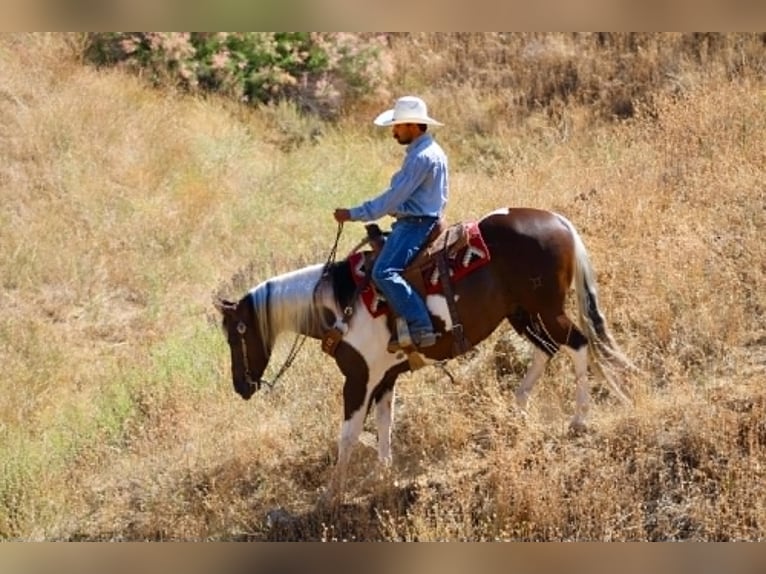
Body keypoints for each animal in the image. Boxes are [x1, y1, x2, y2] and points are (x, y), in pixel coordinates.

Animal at [215, 207, 633, 496]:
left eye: (236, 335)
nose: (241, 386)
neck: (339, 304)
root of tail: (558, 221)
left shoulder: (359, 379)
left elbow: (348, 434)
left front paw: (332, 491)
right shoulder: (384, 377)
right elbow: (384, 423)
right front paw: (383, 472)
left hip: (547, 309)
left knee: (577, 344)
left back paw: (579, 418)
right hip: (522, 313)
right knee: (546, 349)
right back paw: (518, 408)